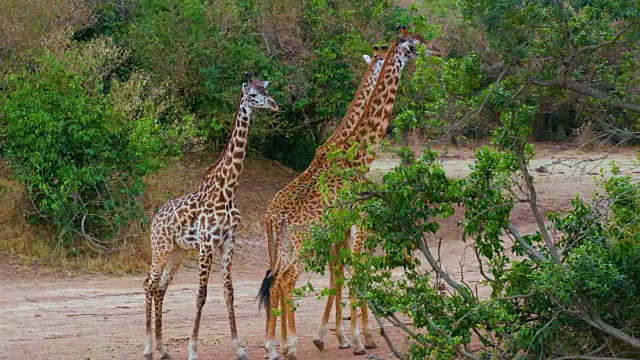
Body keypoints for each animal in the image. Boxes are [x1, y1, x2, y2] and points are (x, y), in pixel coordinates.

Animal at [145, 72, 278, 360]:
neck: (227, 190)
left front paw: (239, 348)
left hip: (177, 252)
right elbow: (201, 294)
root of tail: (154, 220)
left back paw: (162, 348)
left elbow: (229, 292)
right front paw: (192, 349)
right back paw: (148, 347)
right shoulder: (207, 244)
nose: (275, 106)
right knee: (148, 284)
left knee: (160, 288)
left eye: (266, 91)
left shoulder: (228, 242)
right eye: (253, 95)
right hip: (160, 248)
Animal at [258, 27, 442, 360]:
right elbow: (354, 273)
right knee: (287, 279)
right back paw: (289, 346)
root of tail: (272, 217)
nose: (439, 51)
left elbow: (340, 273)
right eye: (417, 43)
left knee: (275, 280)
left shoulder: (341, 227)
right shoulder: (356, 221)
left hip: (282, 246)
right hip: (304, 242)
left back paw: (273, 346)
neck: (356, 153)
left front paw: (336, 337)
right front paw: (357, 339)